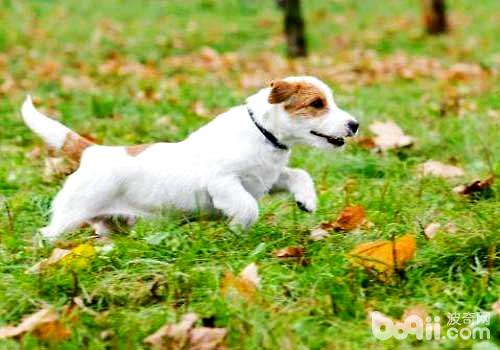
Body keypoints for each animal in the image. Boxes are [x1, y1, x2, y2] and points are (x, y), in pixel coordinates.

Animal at [22, 76, 360, 241]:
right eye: (317, 104)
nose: (355, 125)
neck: (261, 132)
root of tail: (92, 152)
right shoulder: (224, 182)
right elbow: (248, 208)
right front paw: (236, 231)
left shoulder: (268, 178)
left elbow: (298, 174)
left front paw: (307, 200)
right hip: (69, 217)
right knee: (44, 235)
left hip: (113, 222)